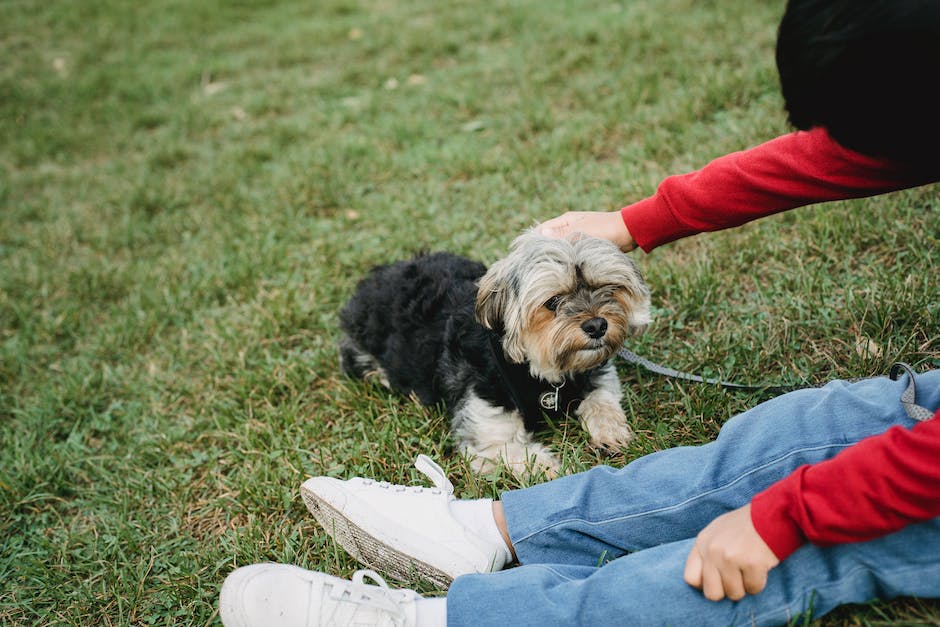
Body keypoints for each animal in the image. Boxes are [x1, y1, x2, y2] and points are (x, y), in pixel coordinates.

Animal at [338, 231, 652, 476]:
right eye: (552, 302)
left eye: (608, 288)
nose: (598, 326)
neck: (539, 371)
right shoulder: (487, 432)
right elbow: (524, 456)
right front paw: (558, 471)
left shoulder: (598, 376)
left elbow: (601, 400)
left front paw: (610, 432)